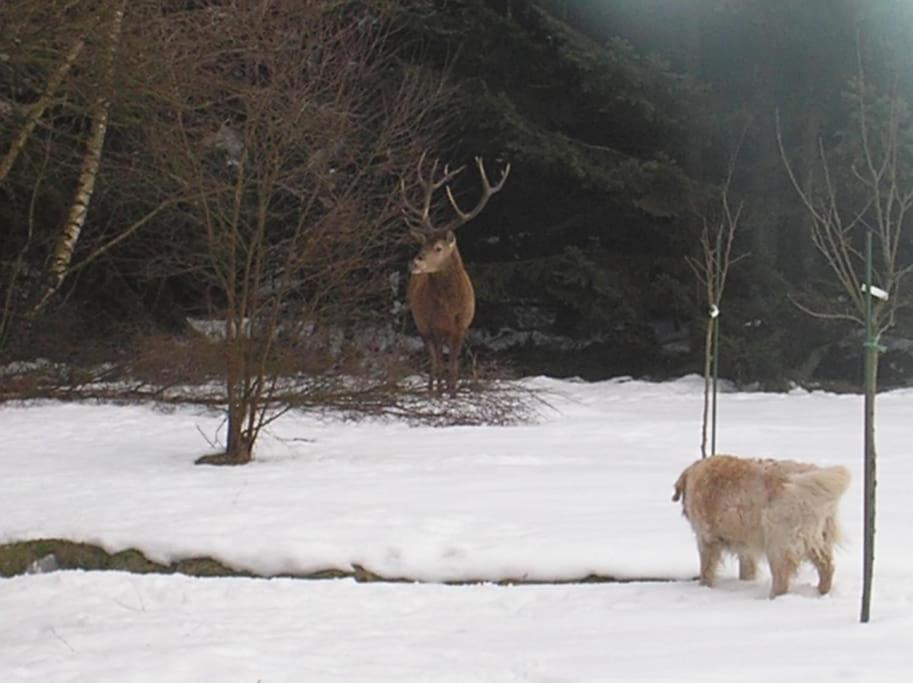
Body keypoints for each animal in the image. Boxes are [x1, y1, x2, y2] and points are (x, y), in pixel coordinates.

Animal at [668, 460, 848, 600]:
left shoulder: (706, 540)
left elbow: (706, 570)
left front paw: (704, 587)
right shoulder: (745, 547)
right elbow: (746, 568)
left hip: (777, 544)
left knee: (782, 579)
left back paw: (773, 598)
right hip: (818, 542)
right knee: (827, 567)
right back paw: (821, 593)